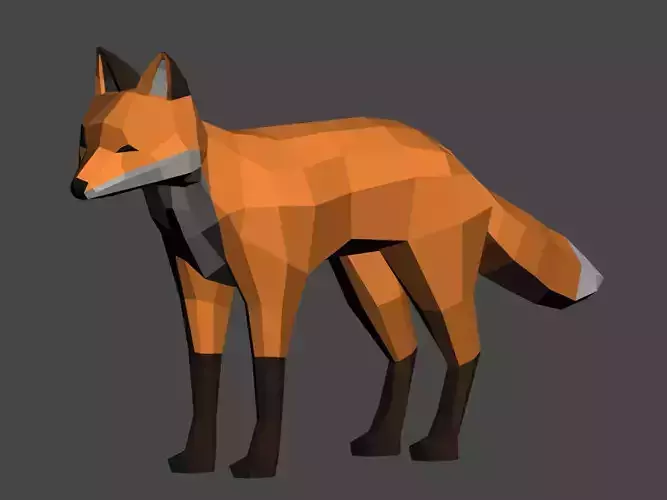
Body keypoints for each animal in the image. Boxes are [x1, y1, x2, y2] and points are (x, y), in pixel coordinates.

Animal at [72, 47, 604, 479]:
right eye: (84, 140)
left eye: (127, 148)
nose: (76, 188)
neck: (200, 202)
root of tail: (451, 156)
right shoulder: (199, 286)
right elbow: (204, 377)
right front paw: (197, 461)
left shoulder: (272, 289)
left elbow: (269, 380)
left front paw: (259, 466)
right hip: (368, 282)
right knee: (406, 351)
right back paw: (381, 443)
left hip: (433, 279)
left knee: (466, 353)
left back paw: (439, 448)